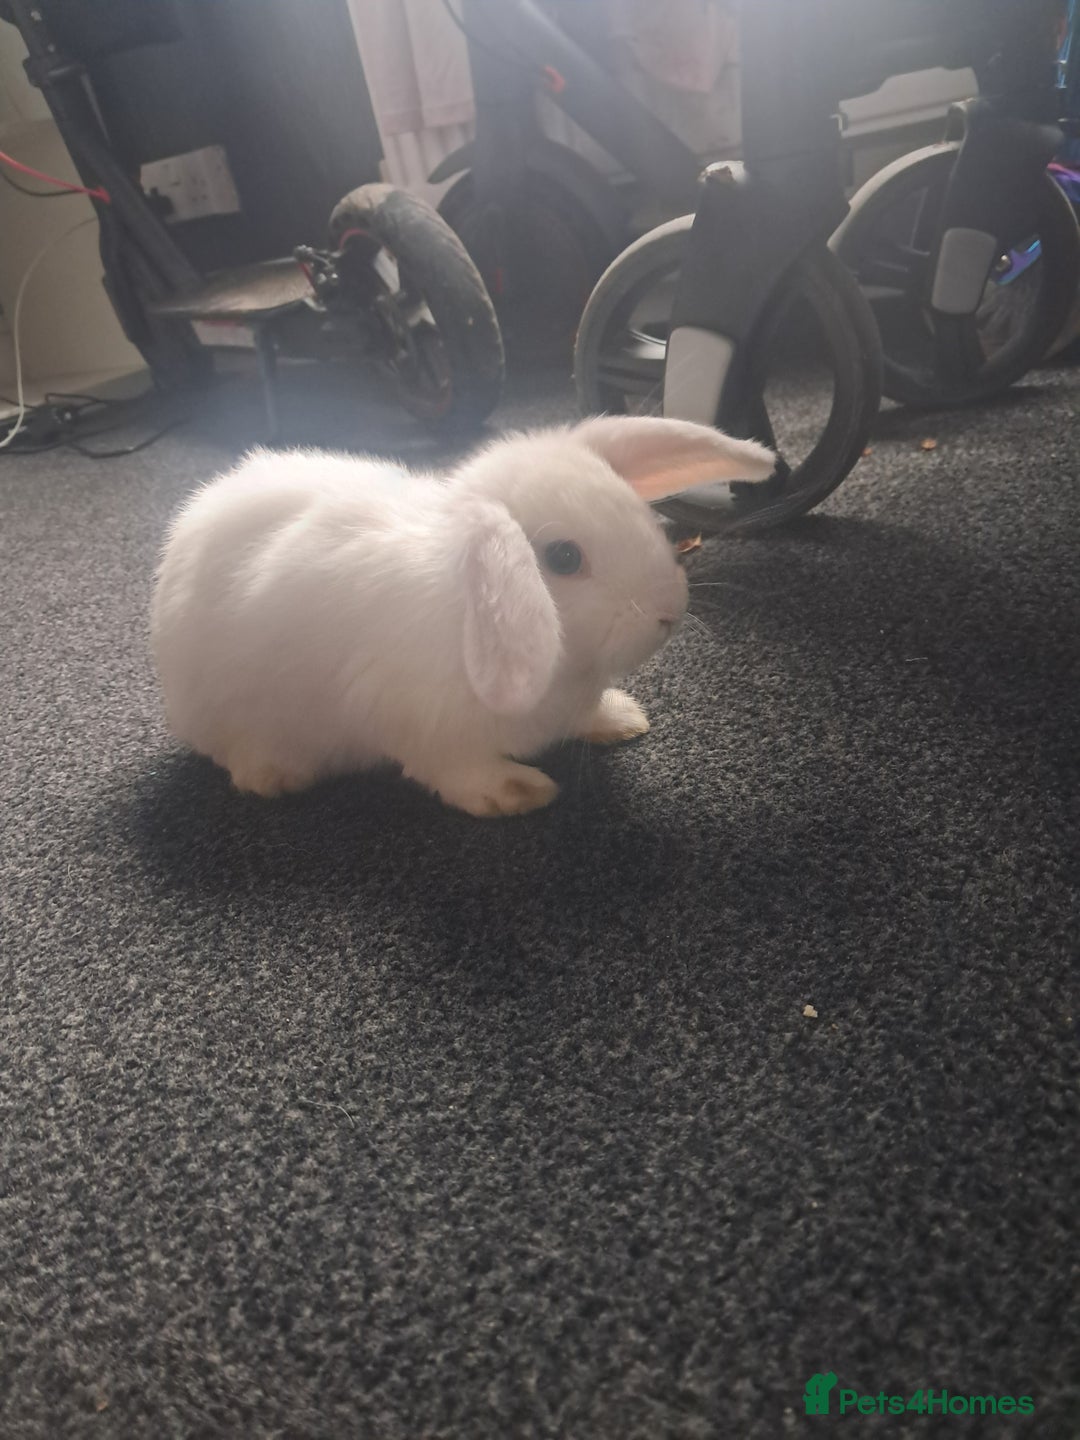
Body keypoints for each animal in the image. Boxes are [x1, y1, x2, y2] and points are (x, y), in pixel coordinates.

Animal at [150, 416, 774, 817]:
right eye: (564, 558)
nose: (670, 610)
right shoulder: (417, 723)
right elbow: (456, 771)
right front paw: (517, 793)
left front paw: (622, 719)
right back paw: (276, 776)